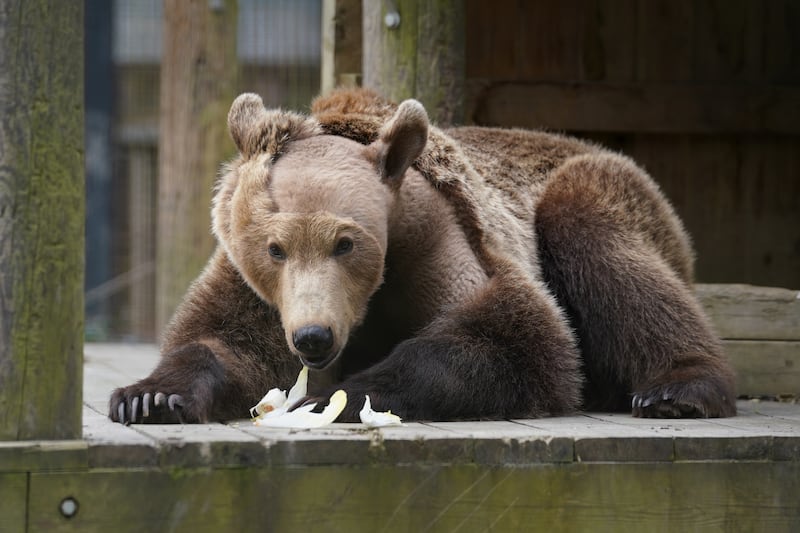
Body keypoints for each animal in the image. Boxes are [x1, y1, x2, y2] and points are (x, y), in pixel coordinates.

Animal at [109, 88, 736, 424]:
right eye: (275, 248)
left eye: (346, 242)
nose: (313, 337)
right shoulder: (255, 285)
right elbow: (222, 339)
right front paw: (150, 396)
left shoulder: (446, 246)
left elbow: (514, 337)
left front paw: (336, 397)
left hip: (598, 192)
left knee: (609, 257)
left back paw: (676, 390)